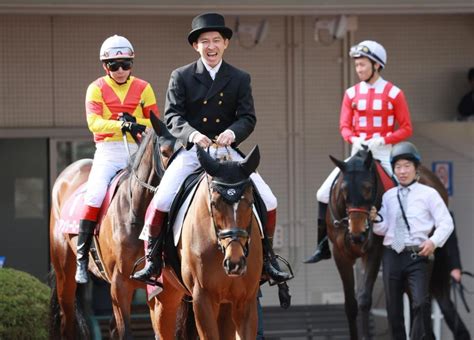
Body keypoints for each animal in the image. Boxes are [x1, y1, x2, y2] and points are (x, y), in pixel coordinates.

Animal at [49, 121, 174, 338]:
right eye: (166, 151)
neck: (136, 210)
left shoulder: (158, 287)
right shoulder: (120, 284)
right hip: (65, 272)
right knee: (67, 323)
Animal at [148, 145, 262, 338]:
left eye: (250, 202)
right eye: (214, 204)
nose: (235, 263)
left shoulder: (245, 300)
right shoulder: (203, 298)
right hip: (164, 298)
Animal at [328, 149, 446, 340]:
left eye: (368, 187)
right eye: (344, 189)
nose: (358, 235)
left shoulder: (374, 252)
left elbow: (364, 300)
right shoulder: (341, 254)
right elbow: (350, 305)